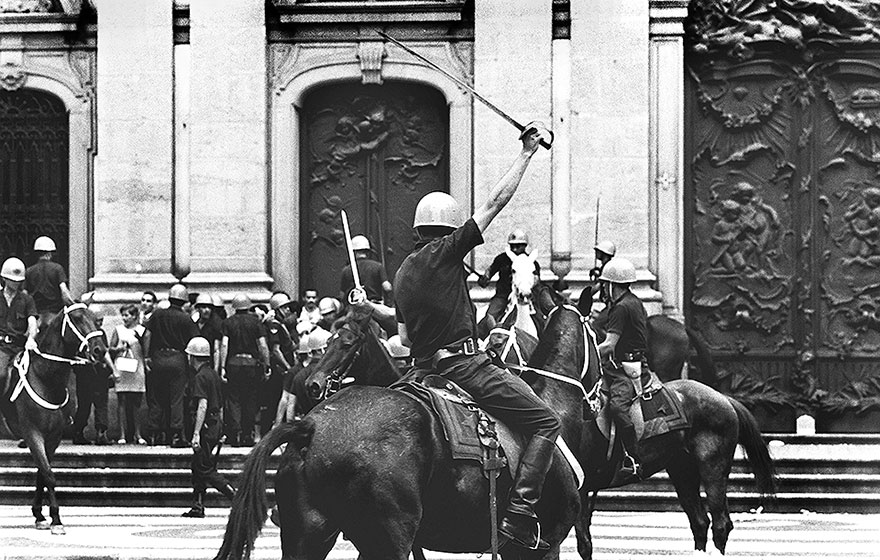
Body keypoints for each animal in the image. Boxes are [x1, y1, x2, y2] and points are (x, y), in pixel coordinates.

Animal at [0, 304, 108, 536]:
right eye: (77, 318)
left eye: (96, 319)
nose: (99, 350)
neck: (45, 378)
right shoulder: (33, 434)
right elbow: (48, 474)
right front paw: (56, 520)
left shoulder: (53, 437)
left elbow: (42, 472)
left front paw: (41, 515)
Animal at [214, 302, 600, 560]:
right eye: (596, 336)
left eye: (347, 342)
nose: (312, 384)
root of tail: (310, 424)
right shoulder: (545, 547)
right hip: (387, 536)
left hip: (310, 535)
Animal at [300, 304, 776, 556]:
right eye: (328, 340)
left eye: (345, 342)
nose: (310, 386)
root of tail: (721, 397)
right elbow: (583, 542)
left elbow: (582, 542)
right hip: (681, 469)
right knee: (700, 522)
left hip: (711, 466)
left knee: (719, 523)